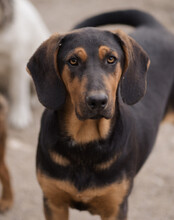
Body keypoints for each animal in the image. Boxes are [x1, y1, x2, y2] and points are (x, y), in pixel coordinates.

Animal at [26, 9, 174, 220]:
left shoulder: (116, 207)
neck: (85, 142)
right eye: (73, 61)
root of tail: (157, 27)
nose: (97, 101)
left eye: (111, 59)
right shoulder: (53, 202)